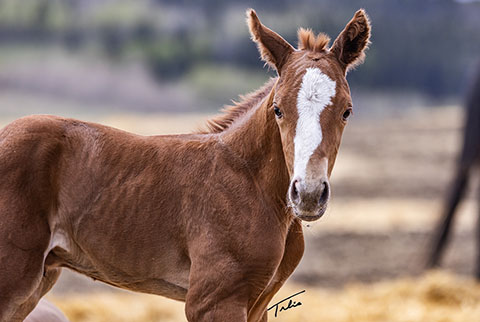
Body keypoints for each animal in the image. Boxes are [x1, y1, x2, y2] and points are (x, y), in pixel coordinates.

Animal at [0, 9, 372, 322]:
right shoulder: (213, 301)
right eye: (278, 109)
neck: (252, 183)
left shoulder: (258, 305)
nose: (307, 194)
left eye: (346, 110)